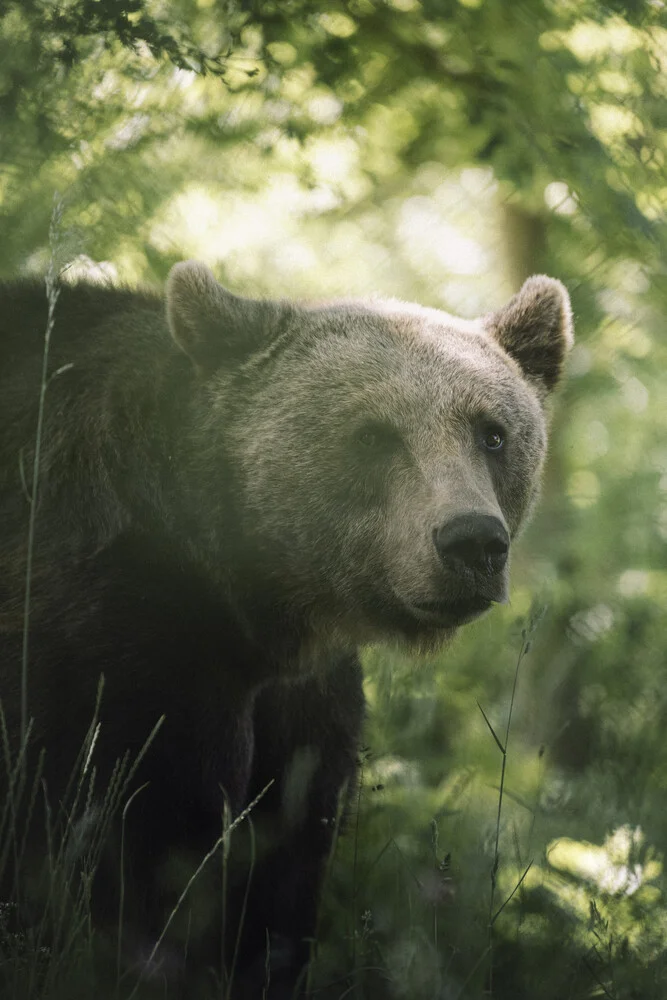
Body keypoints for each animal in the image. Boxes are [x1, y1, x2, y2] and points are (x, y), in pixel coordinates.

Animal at [0, 262, 576, 996]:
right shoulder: (110, 647)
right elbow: (132, 846)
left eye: (492, 432)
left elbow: (282, 863)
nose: (471, 541)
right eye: (372, 435)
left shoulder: (303, 705)